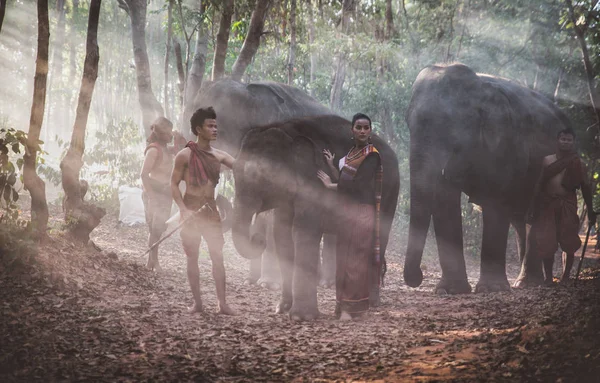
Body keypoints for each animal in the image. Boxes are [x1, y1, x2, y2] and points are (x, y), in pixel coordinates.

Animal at [232, 115, 400, 320]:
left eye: (265, 177)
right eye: (234, 171)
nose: (257, 239)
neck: (288, 131)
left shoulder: (312, 185)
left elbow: (304, 231)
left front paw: (301, 317)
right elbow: (282, 235)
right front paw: (282, 308)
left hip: (388, 196)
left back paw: (371, 304)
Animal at [404, 64, 572, 296]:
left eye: (449, 127)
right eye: (408, 124)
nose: (418, 277)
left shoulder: (505, 142)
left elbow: (494, 202)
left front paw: (491, 289)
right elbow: (444, 201)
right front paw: (450, 290)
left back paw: (529, 283)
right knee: (521, 219)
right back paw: (525, 282)